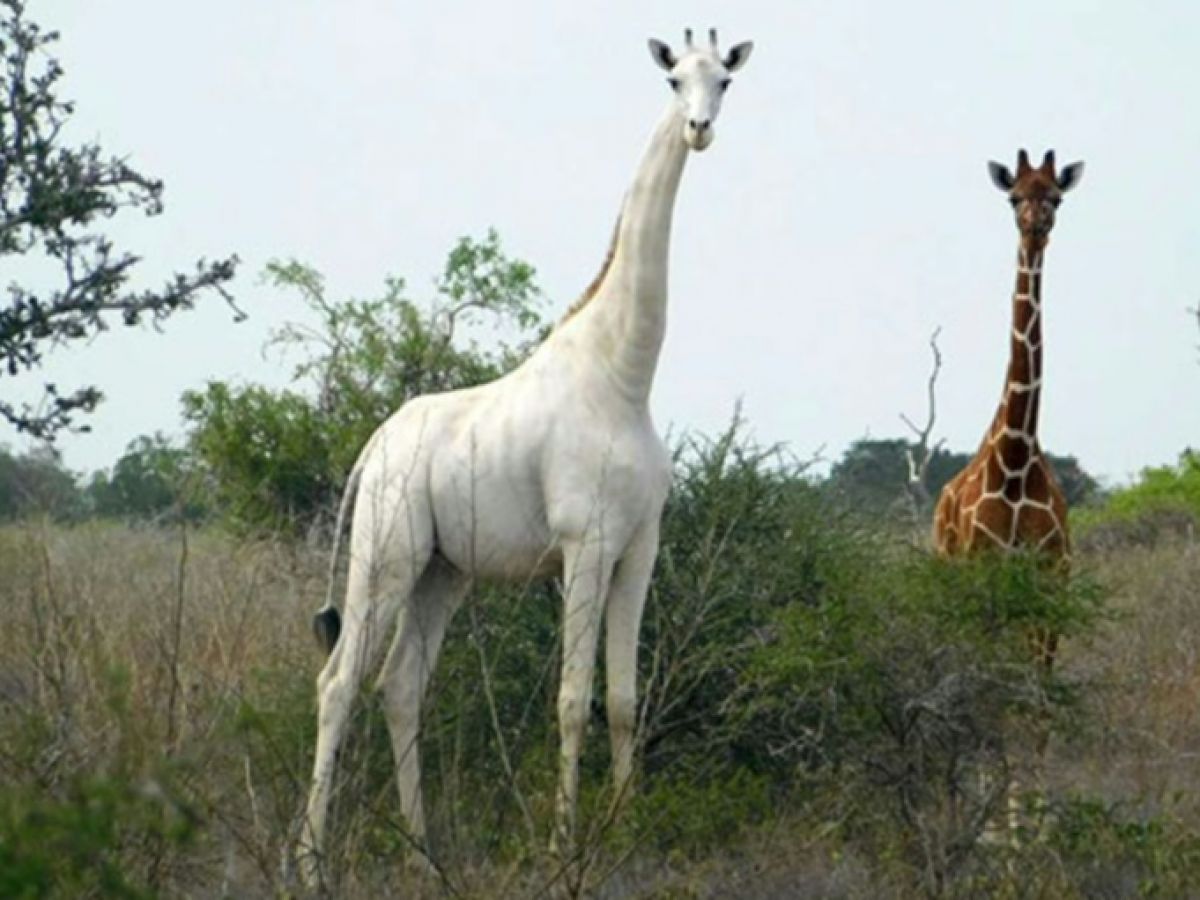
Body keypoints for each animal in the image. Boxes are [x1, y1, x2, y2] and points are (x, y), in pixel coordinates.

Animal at [298, 29, 753, 881]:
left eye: (726, 81)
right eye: (674, 78)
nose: (699, 129)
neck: (624, 375)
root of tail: (373, 447)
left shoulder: (640, 548)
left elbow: (623, 700)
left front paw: (624, 836)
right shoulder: (585, 544)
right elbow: (572, 699)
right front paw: (562, 847)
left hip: (443, 571)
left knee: (400, 685)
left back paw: (423, 855)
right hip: (386, 553)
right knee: (338, 681)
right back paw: (310, 863)